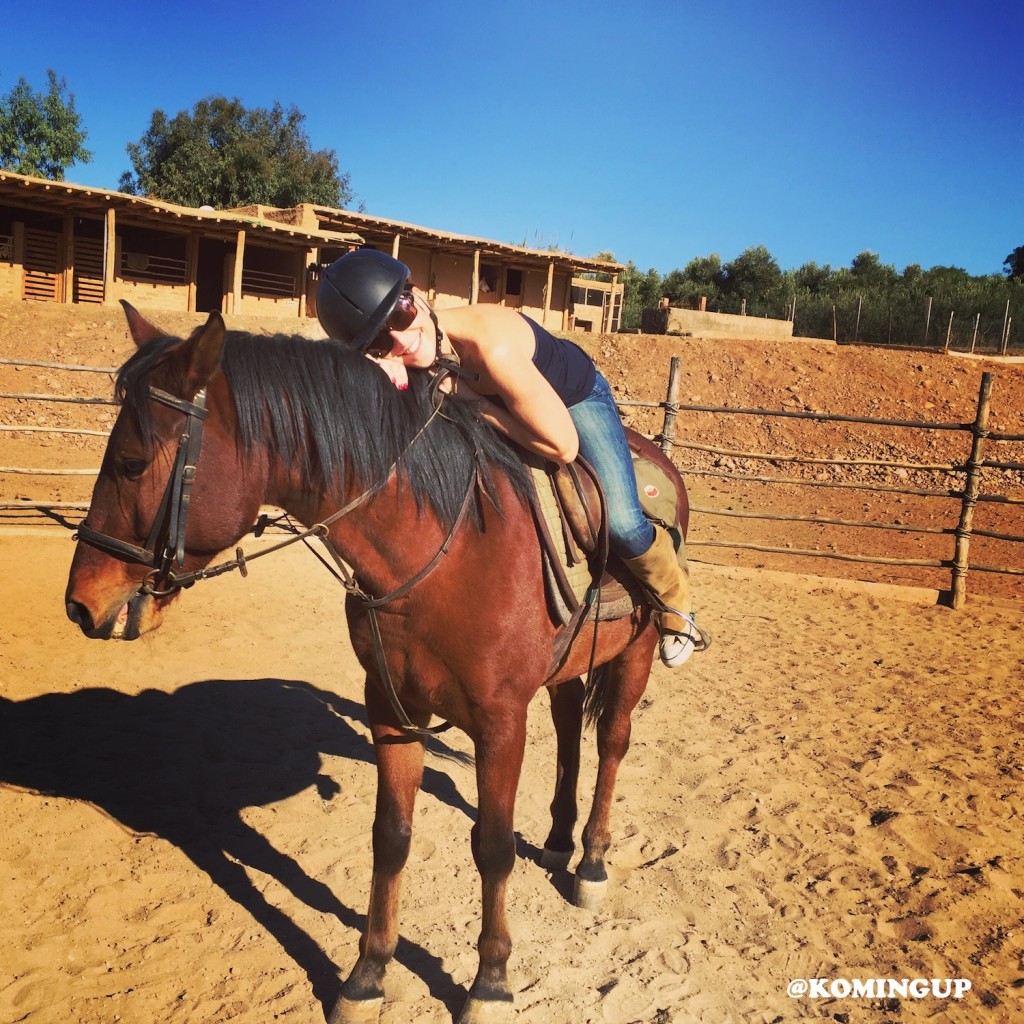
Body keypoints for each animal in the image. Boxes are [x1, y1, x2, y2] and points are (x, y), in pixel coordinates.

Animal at [64, 301, 688, 1024]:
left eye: (133, 463)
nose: (80, 602)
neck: (446, 545)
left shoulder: (500, 721)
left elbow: (493, 847)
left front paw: (490, 982)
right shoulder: (391, 706)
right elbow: (391, 835)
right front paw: (367, 974)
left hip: (634, 650)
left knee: (612, 741)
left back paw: (590, 860)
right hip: (567, 668)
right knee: (567, 733)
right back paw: (559, 839)